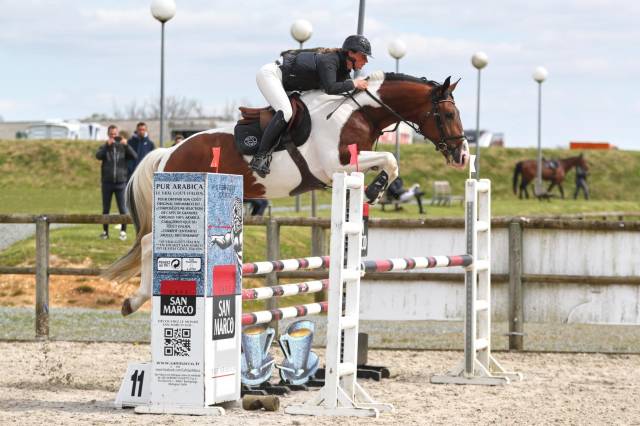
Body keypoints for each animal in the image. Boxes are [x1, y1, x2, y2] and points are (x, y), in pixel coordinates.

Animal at [103, 71, 470, 316]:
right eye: (448, 113)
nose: (462, 156)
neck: (359, 112)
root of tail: (170, 150)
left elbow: (390, 163)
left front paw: (374, 191)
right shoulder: (336, 165)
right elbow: (391, 159)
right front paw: (376, 190)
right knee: (149, 243)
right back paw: (134, 301)